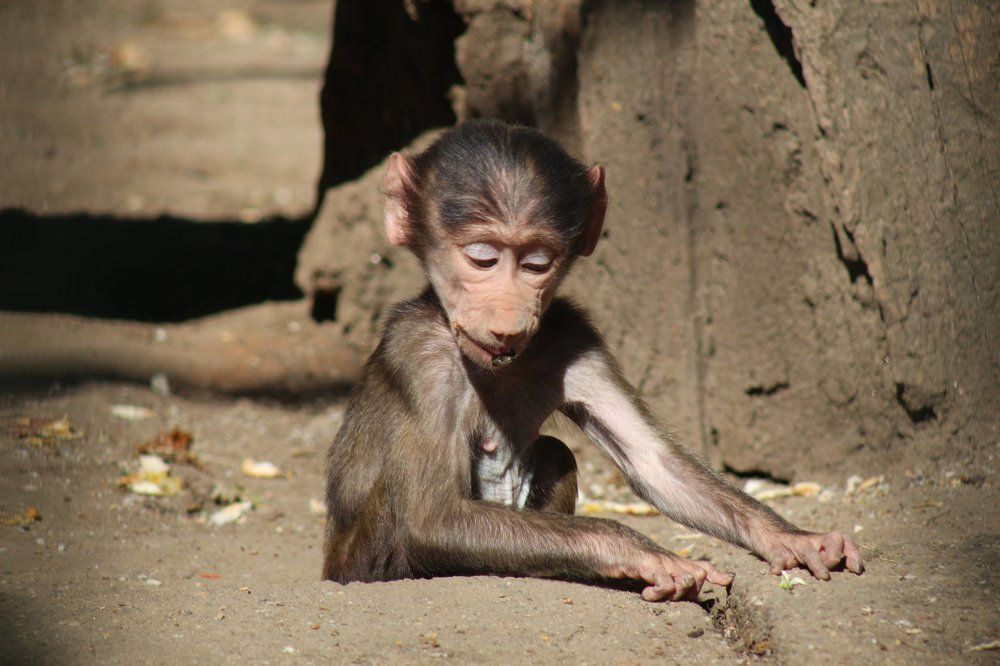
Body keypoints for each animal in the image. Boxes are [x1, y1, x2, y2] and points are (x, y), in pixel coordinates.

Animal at [321, 120, 863, 602]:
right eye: (482, 258)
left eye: (536, 264)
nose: (507, 316)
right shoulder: (420, 356)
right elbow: (431, 519)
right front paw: (638, 551)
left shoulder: (573, 336)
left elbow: (654, 460)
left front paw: (793, 539)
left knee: (556, 454)